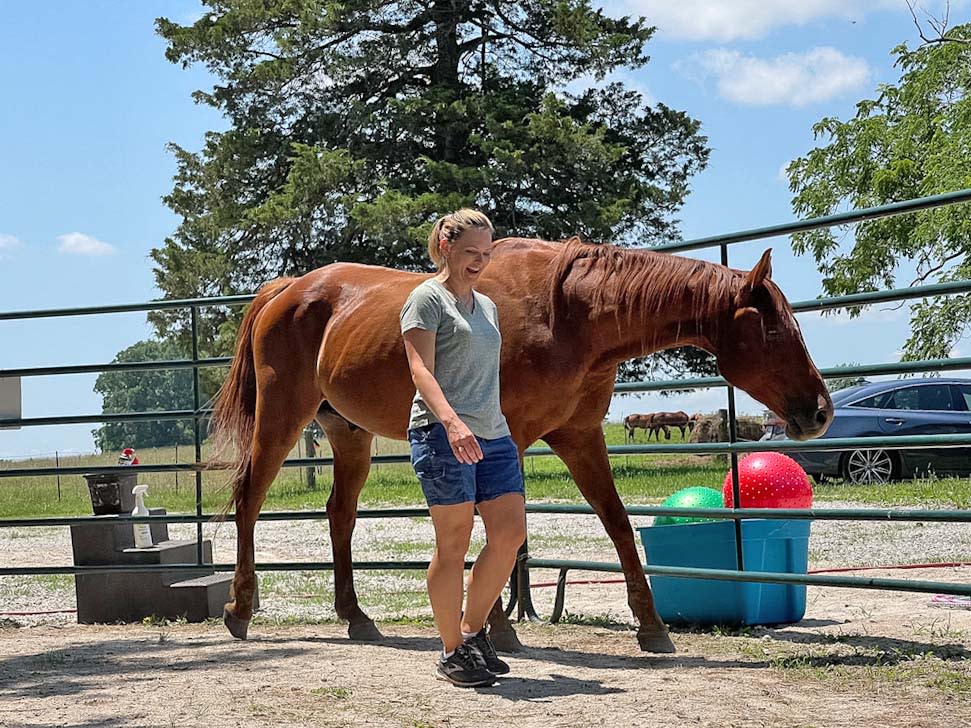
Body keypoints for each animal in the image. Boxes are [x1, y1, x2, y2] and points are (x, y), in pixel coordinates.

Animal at [212, 237, 833, 654]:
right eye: (773, 330)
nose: (820, 411)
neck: (568, 314)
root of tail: (287, 290)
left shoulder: (578, 438)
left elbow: (615, 520)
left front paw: (651, 626)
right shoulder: (501, 437)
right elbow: (499, 530)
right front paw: (498, 626)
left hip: (348, 433)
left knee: (339, 515)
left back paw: (355, 615)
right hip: (281, 419)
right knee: (249, 501)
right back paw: (239, 608)